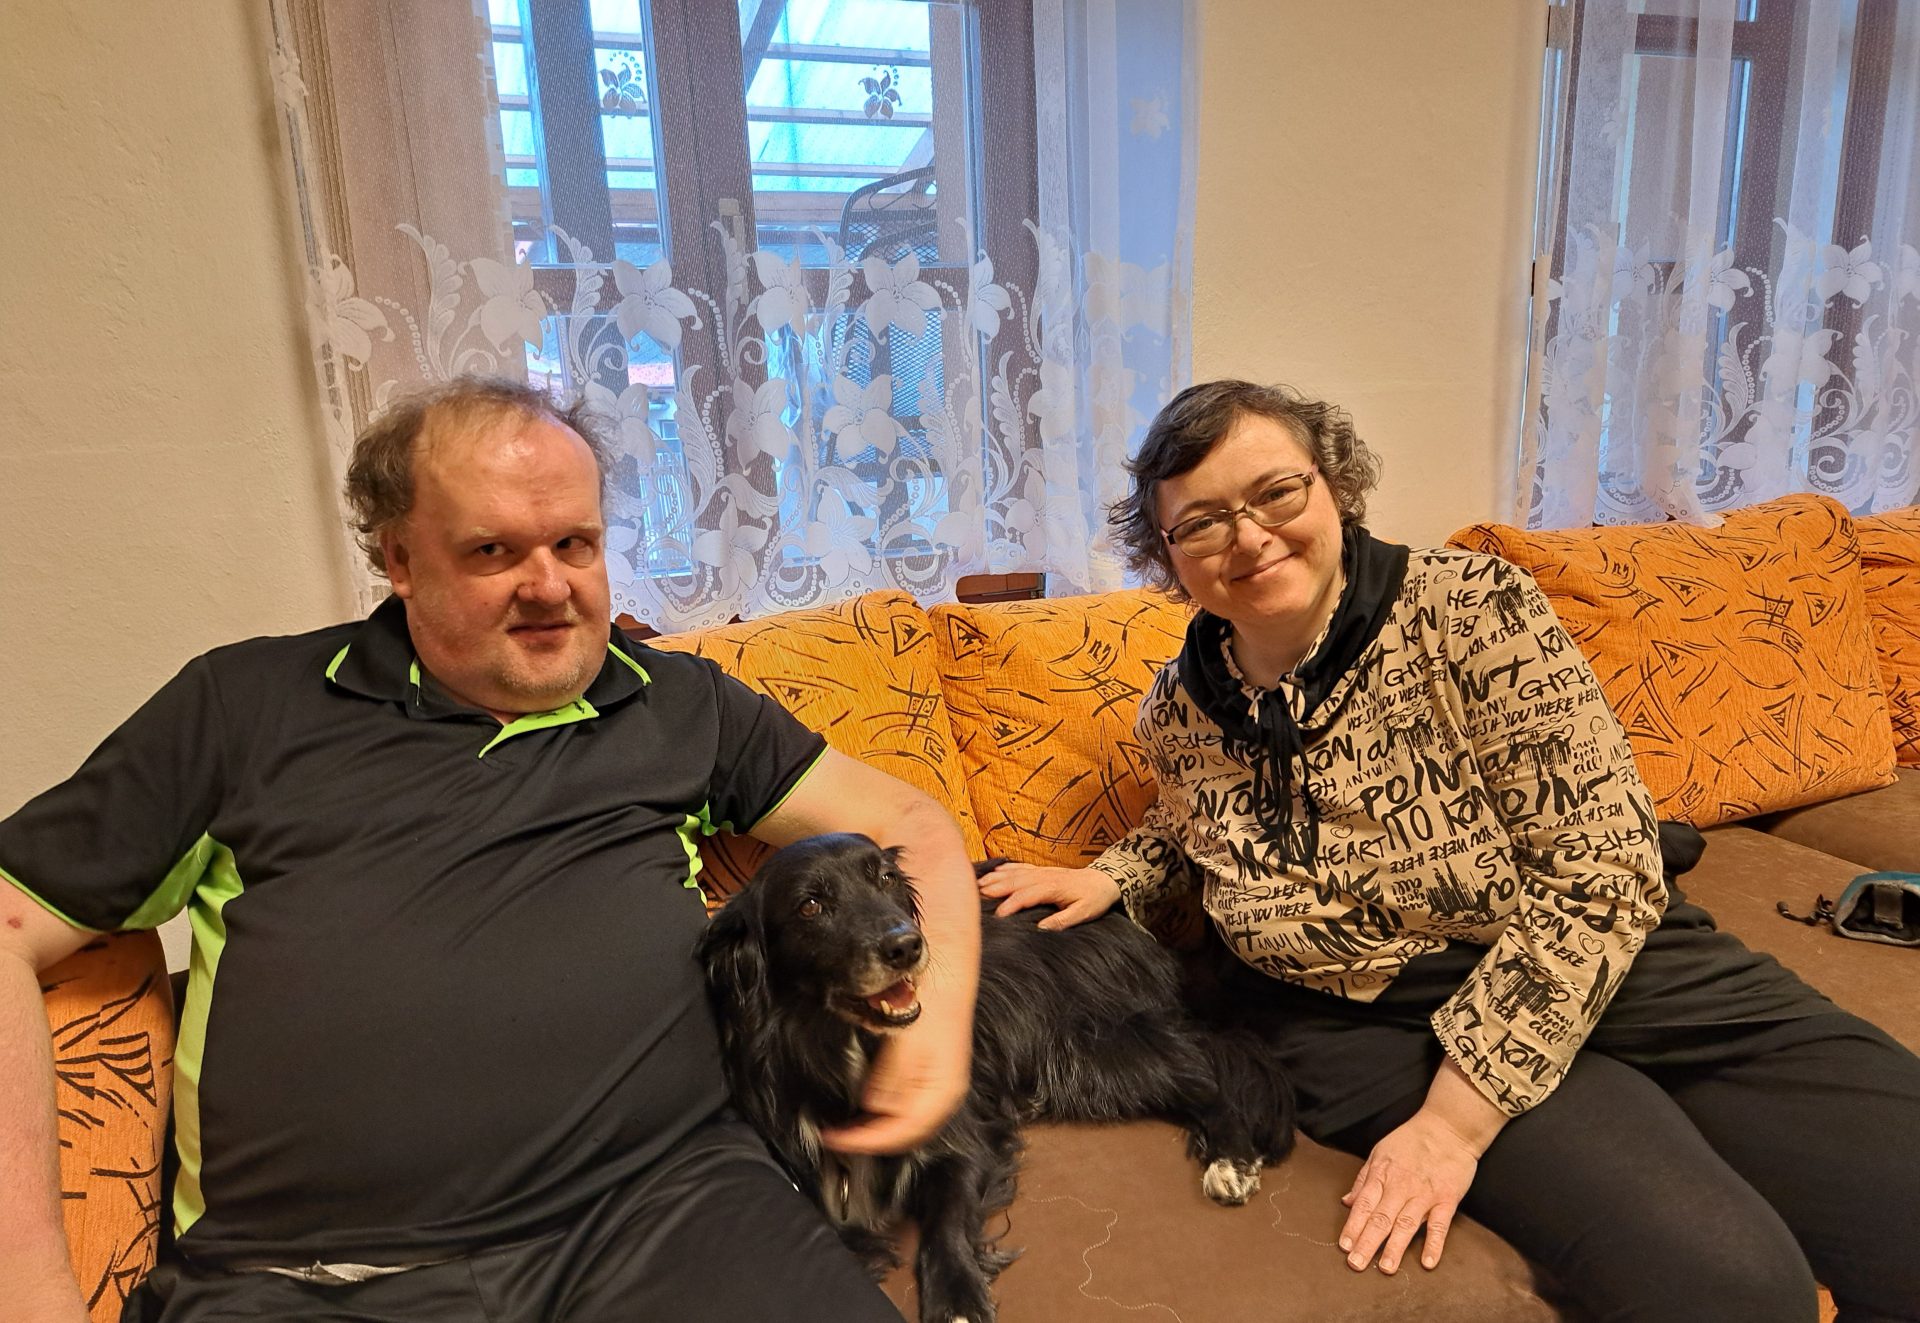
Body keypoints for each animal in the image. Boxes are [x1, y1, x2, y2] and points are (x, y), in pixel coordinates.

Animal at [697, 833, 1295, 1323]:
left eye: (886, 878)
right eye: (811, 905)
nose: (906, 945)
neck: (846, 1050)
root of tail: (1118, 916)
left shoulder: (962, 1139)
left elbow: (945, 1224)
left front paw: (957, 1299)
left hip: (1088, 1050)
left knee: (1206, 1075)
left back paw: (1232, 1160)